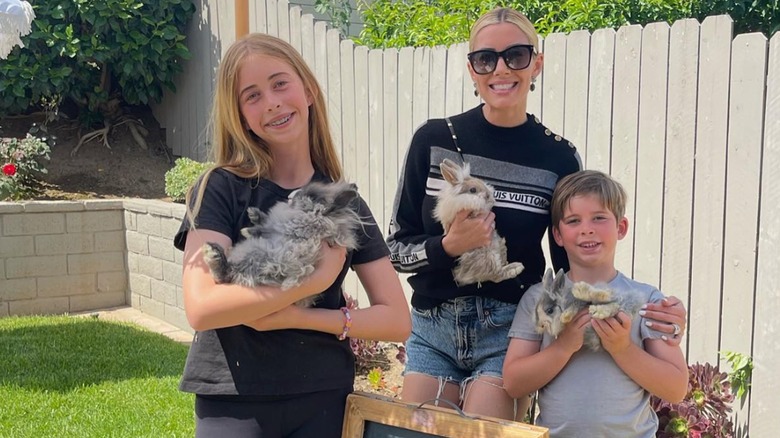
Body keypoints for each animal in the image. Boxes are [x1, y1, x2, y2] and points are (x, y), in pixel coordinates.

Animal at [203, 181, 364, 308]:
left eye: (312, 196)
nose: (291, 195)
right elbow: (266, 225)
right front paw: (253, 214)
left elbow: (267, 229)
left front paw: (248, 230)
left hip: (259, 256)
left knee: (228, 275)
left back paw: (213, 254)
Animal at [432, 158, 524, 288]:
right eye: (473, 190)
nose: (488, 195)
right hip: (488, 257)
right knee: (496, 276)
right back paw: (517, 268)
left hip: (498, 245)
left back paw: (510, 263)